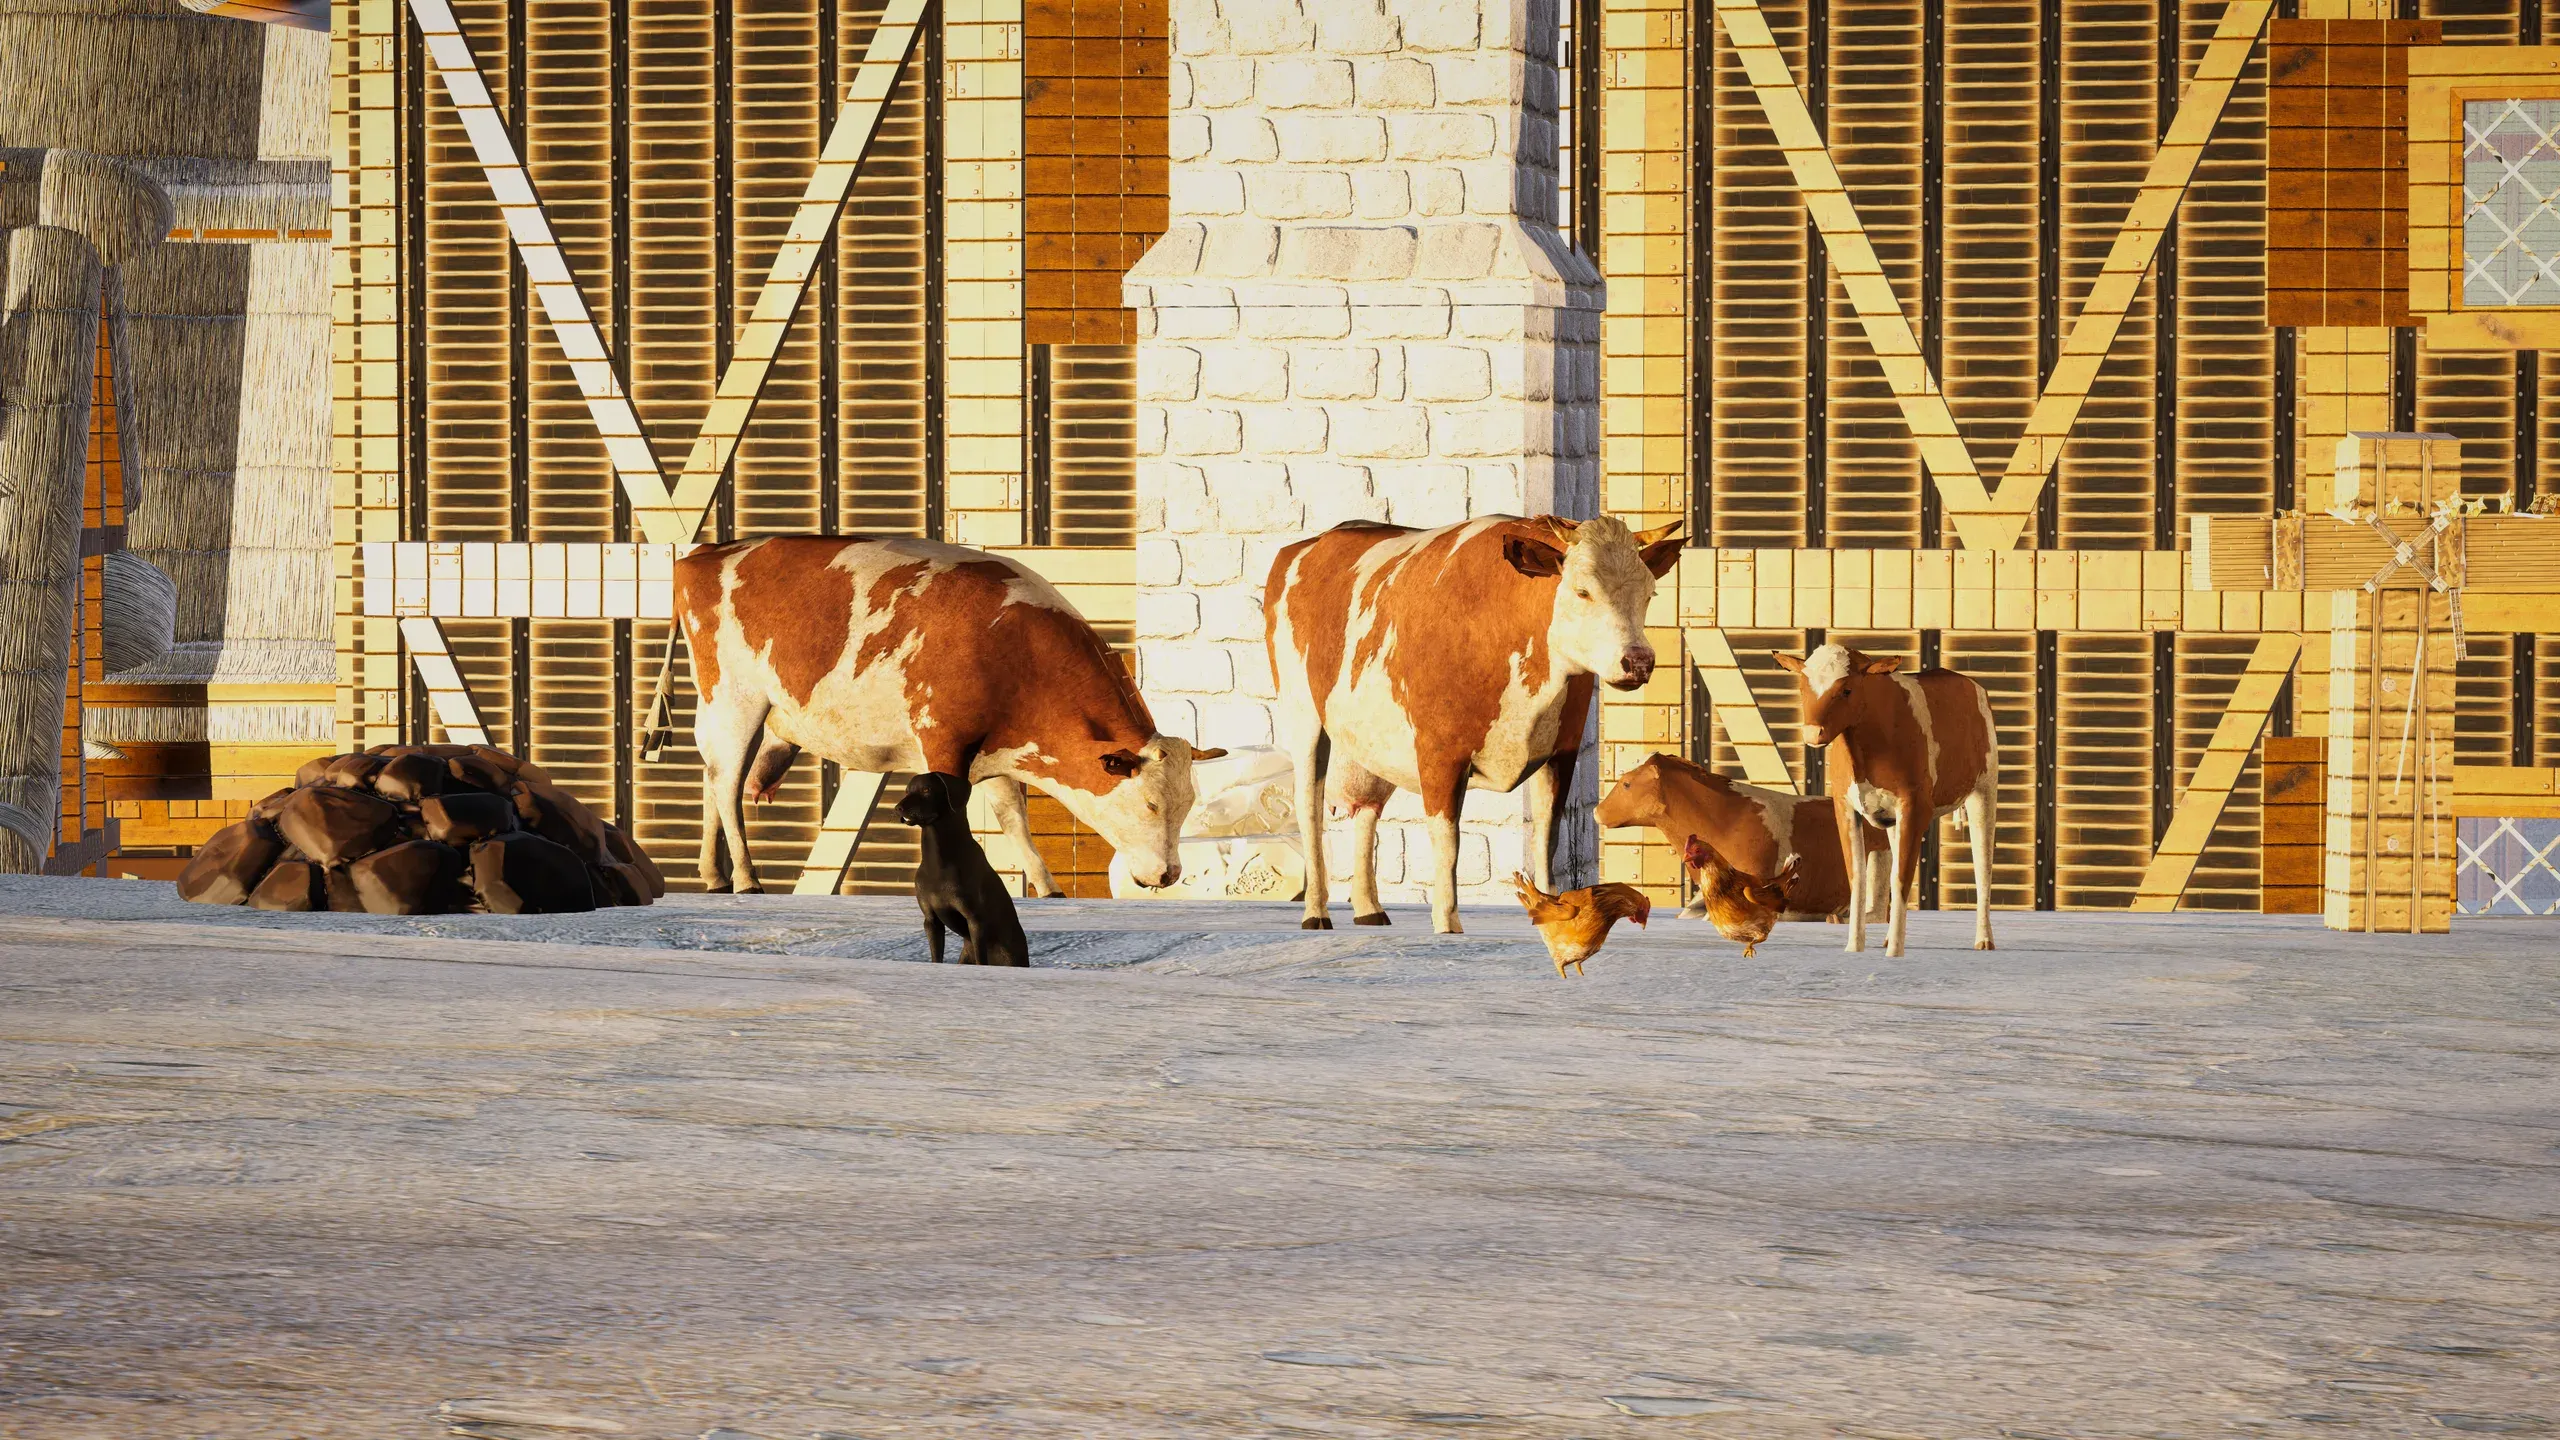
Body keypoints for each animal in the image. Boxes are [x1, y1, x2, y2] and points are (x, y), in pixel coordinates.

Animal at [672, 536, 1223, 896]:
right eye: (1150, 805)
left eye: (1188, 804)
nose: (1169, 875)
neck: (1013, 649)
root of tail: (712, 551)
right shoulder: (943, 740)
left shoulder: (996, 751)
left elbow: (1013, 818)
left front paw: (1046, 886)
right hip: (737, 700)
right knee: (726, 785)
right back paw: (745, 878)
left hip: (722, 710)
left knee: (711, 779)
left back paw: (714, 875)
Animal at [1264, 514, 1684, 934]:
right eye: (1583, 591)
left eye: (1649, 594)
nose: (1639, 661)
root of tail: (1316, 540)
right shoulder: (1439, 751)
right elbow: (1448, 842)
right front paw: (1447, 924)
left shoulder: (1562, 752)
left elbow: (1547, 835)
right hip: (1303, 715)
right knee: (1309, 807)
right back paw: (1316, 912)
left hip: (1370, 737)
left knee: (1367, 805)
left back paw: (1369, 908)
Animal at [1774, 643, 1998, 957]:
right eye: (1803, 687)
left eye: (1847, 690)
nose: (1812, 732)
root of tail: (1967, 681)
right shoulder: (1844, 807)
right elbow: (1858, 876)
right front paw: (1854, 946)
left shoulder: (1914, 806)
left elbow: (1901, 877)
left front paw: (1895, 953)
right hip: (1894, 820)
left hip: (1984, 789)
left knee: (1983, 865)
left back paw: (1984, 939)